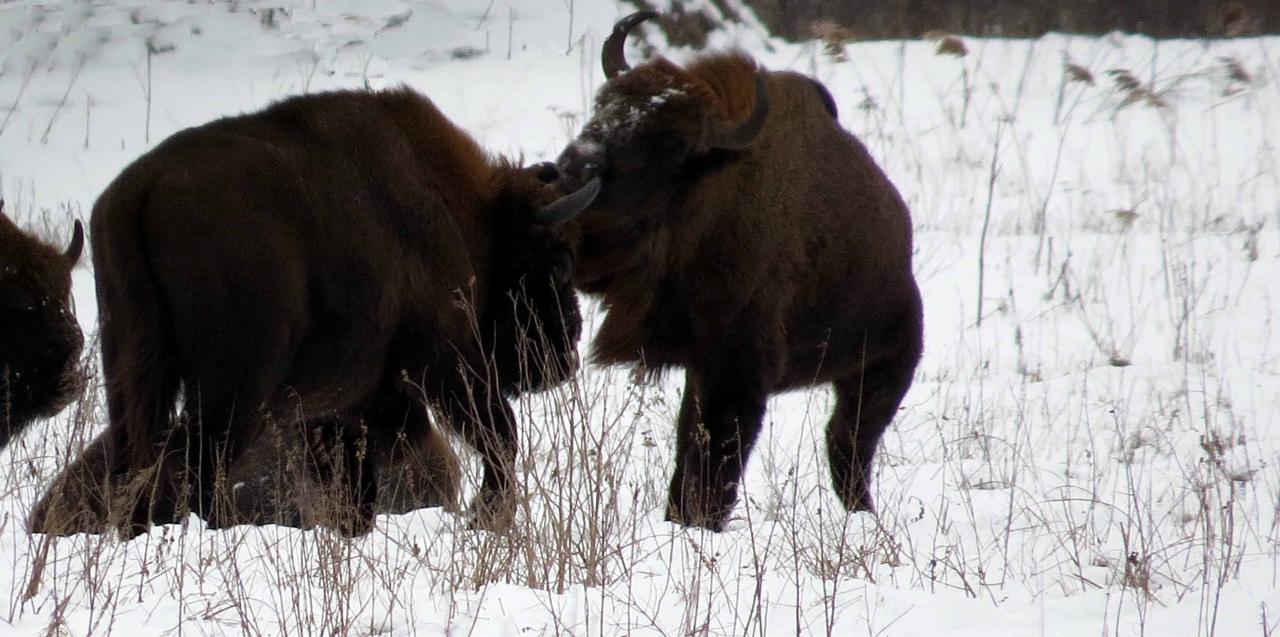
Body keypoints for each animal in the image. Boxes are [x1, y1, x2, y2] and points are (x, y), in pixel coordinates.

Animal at [80, 85, 599, 537]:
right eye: (558, 264)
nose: (566, 353)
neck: (460, 215)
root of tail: (142, 191)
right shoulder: (444, 364)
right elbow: (501, 434)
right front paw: (488, 518)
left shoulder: (342, 410)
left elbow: (357, 487)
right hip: (233, 388)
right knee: (197, 465)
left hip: (134, 371)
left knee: (135, 459)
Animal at [555, 13, 926, 532]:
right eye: (602, 104)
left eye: (670, 143)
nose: (574, 164)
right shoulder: (702, 367)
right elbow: (689, 446)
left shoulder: (736, 374)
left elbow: (718, 458)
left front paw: (700, 523)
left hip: (884, 368)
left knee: (847, 446)